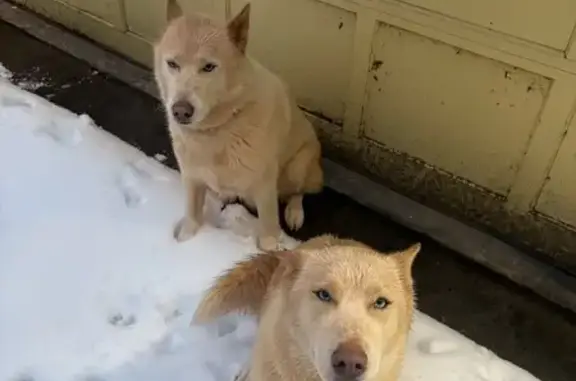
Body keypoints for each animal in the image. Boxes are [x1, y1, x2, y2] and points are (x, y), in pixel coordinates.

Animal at [153, 2, 324, 249]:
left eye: (209, 67)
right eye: (172, 64)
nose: (180, 111)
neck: (218, 129)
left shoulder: (264, 186)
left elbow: (269, 225)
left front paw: (269, 247)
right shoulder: (191, 176)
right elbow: (192, 212)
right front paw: (186, 239)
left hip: (298, 166)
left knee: (298, 192)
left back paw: (294, 212)